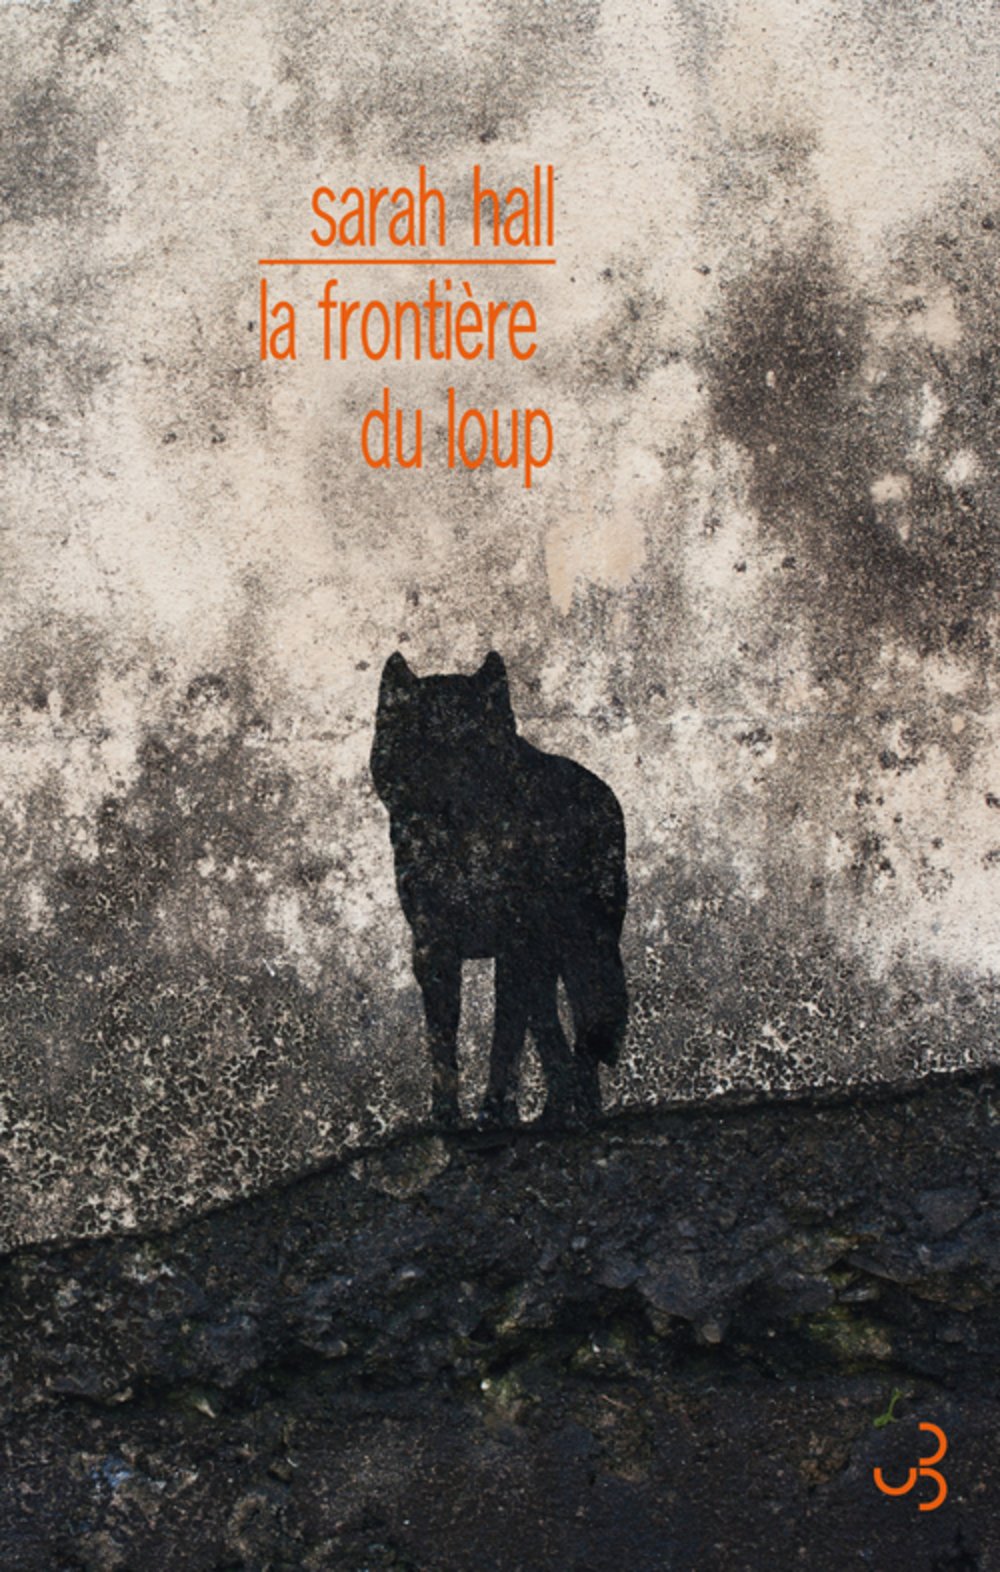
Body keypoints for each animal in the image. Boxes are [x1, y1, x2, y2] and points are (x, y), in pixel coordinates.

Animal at [370, 650, 628, 1128]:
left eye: (474, 745)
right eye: (422, 743)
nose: (449, 783)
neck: (464, 849)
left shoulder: (514, 948)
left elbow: (504, 1039)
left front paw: (492, 1112)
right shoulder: (434, 950)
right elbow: (442, 1042)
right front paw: (446, 1117)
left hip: (583, 948)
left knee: (586, 1021)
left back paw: (580, 1116)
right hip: (547, 964)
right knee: (552, 1034)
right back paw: (556, 1111)